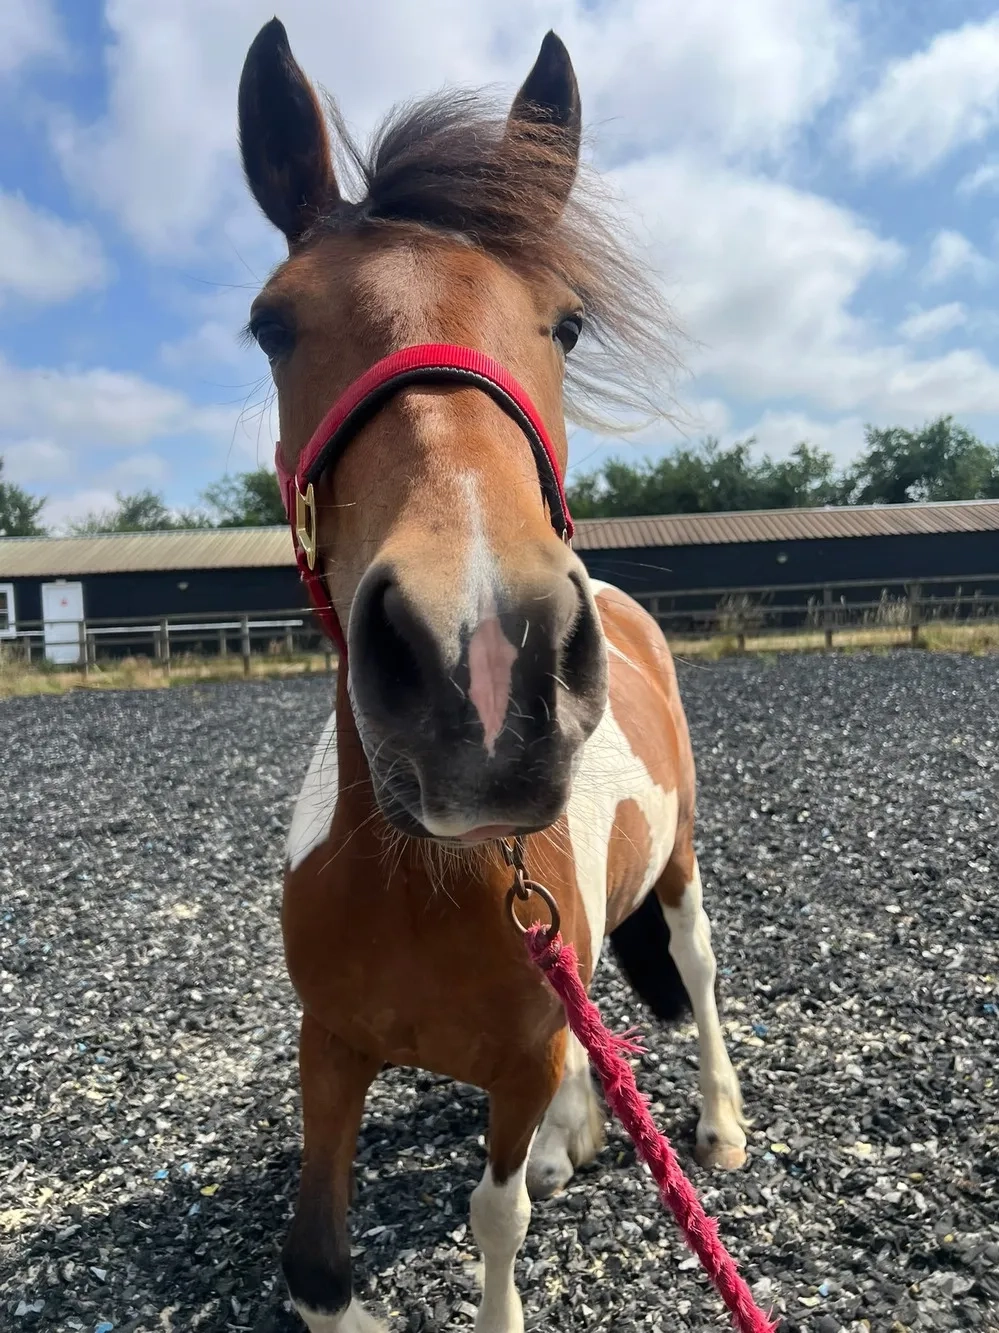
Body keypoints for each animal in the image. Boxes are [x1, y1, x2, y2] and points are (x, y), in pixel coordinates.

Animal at [237, 19, 748, 1332]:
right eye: (272, 325)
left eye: (564, 324)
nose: (479, 659)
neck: (424, 885)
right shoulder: (331, 1047)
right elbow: (315, 1262)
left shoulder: (513, 1064)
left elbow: (496, 1214)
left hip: (680, 862)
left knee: (698, 970)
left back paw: (719, 1123)